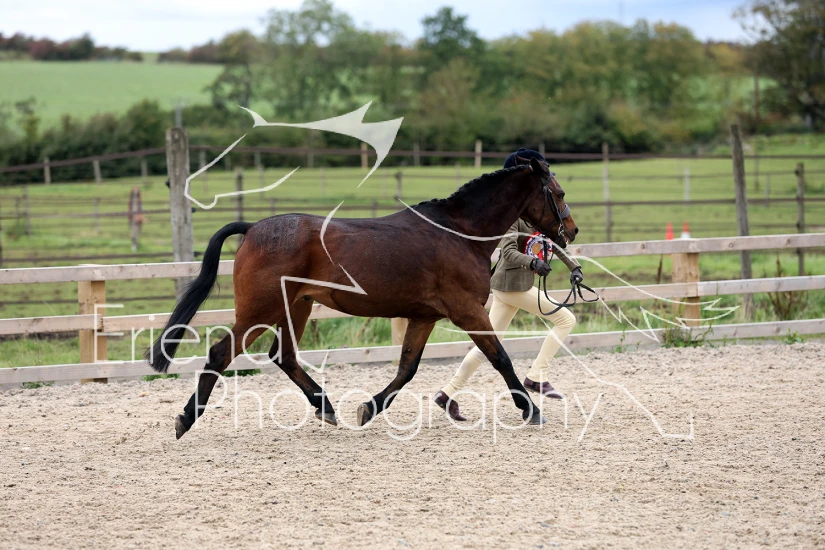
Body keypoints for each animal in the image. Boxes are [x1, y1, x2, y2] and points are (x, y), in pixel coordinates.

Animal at [146, 155, 578, 439]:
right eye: (558, 192)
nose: (570, 231)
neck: (460, 233)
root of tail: (253, 228)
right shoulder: (467, 311)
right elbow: (499, 357)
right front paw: (530, 409)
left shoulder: (424, 317)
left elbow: (407, 369)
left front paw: (368, 408)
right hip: (260, 311)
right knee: (221, 353)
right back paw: (186, 420)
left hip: (295, 307)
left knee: (283, 356)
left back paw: (326, 408)